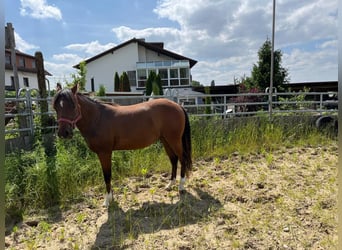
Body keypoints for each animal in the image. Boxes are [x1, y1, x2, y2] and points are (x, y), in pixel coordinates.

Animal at [53, 85, 192, 206]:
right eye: (55, 107)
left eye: (73, 106)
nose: (63, 133)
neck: (98, 118)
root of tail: (178, 105)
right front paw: (111, 198)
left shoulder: (104, 153)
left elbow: (107, 175)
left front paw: (107, 201)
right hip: (165, 140)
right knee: (173, 160)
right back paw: (170, 185)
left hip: (174, 140)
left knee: (182, 159)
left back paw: (181, 186)